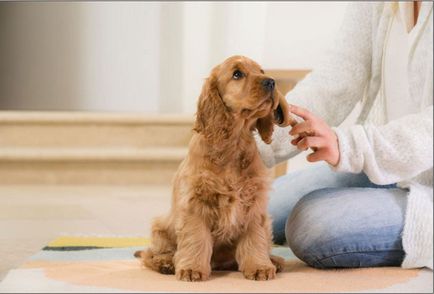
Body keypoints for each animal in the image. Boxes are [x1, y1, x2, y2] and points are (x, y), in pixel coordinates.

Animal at [136, 55, 294, 282]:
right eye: (237, 74)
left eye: (261, 71)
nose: (271, 82)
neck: (233, 143)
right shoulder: (196, 203)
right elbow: (196, 239)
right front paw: (191, 270)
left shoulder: (253, 202)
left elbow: (255, 238)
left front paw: (259, 267)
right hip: (160, 228)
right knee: (149, 254)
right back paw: (166, 263)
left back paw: (274, 260)